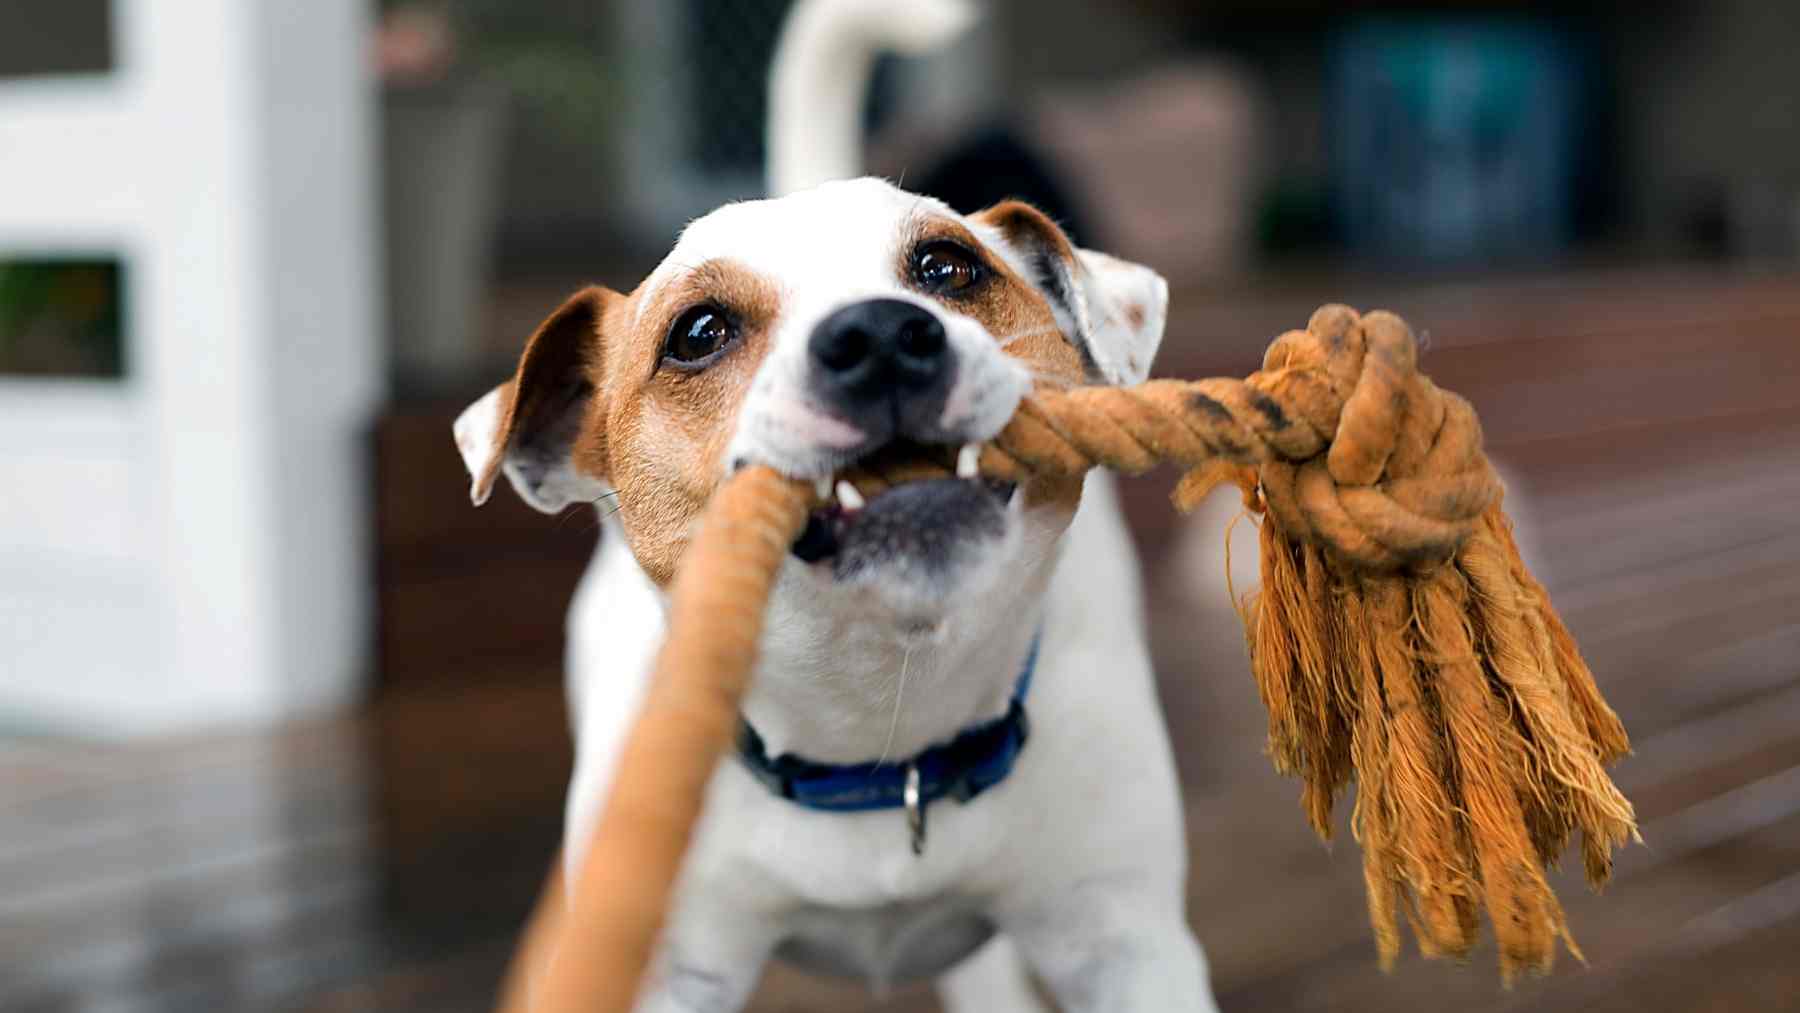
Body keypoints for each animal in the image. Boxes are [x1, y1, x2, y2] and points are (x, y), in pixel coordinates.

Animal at [450, 3, 1216, 1007]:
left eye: (949, 266)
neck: (883, 737)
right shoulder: (668, 969)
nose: (881, 336)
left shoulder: (1126, 943)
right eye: (698, 331)